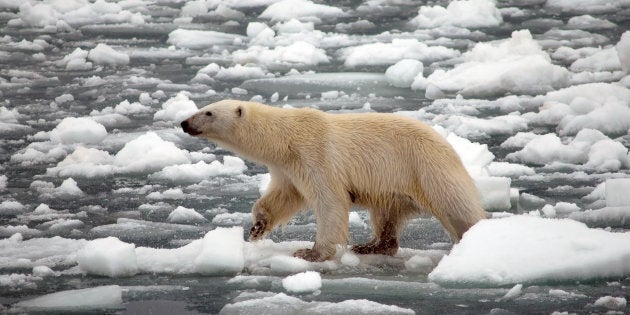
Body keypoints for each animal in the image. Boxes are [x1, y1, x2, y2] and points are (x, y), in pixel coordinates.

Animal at [183, 100, 488, 262]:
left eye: (208, 112)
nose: (185, 123)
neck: (285, 138)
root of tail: (449, 146)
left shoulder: (315, 155)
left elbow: (330, 201)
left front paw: (311, 252)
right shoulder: (288, 168)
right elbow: (283, 197)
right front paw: (257, 227)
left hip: (425, 167)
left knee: (456, 207)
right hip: (394, 186)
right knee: (386, 213)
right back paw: (371, 245)